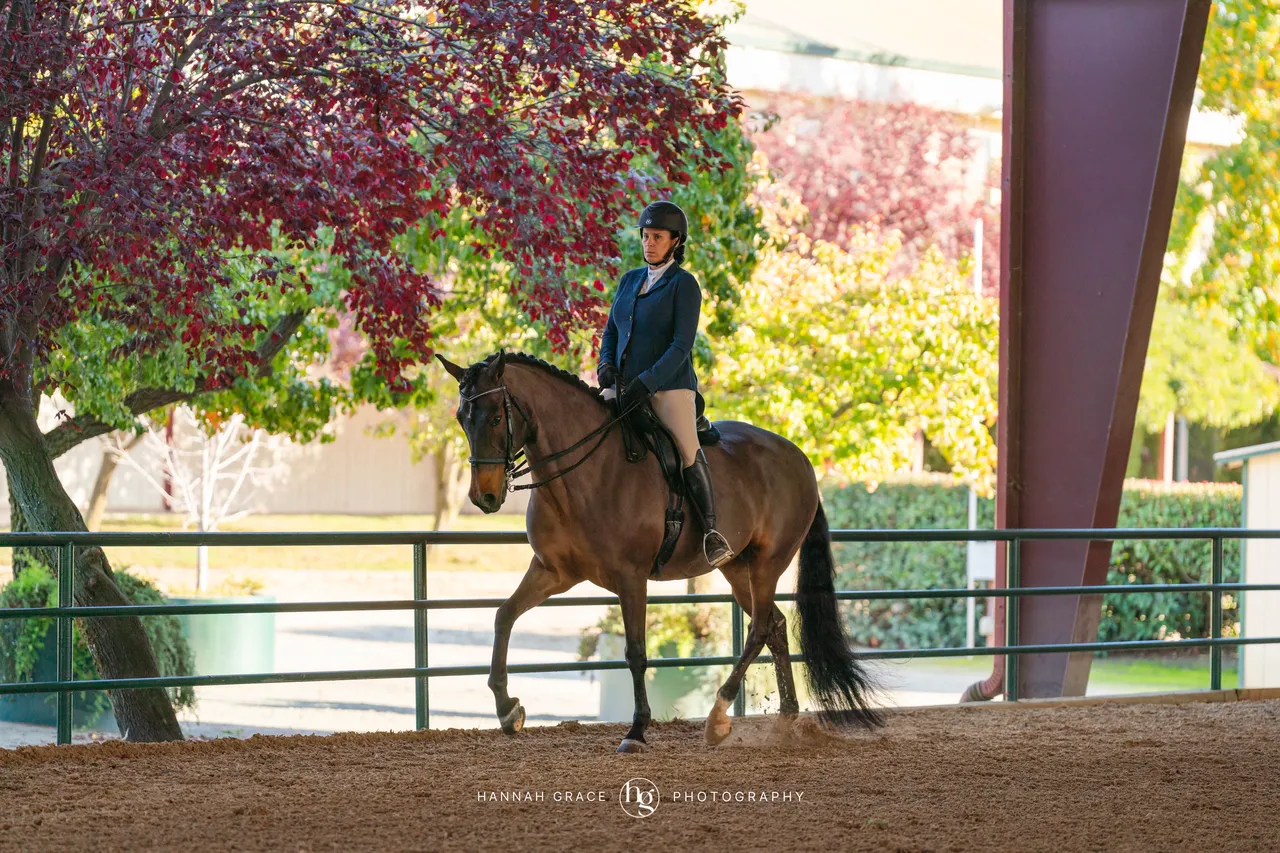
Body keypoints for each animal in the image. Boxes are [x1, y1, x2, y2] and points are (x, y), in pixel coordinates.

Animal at [436, 350, 881, 753]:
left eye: (496, 418)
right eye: (462, 419)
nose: (484, 497)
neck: (586, 473)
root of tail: (800, 458)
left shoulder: (630, 578)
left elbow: (636, 653)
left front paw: (636, 730)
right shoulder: (552, 571)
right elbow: (504, 616)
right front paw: (507, 709)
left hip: (768, 563)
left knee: (757, 629)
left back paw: (718, 717)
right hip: (738, 568)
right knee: (773, 624)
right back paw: (786, 716)